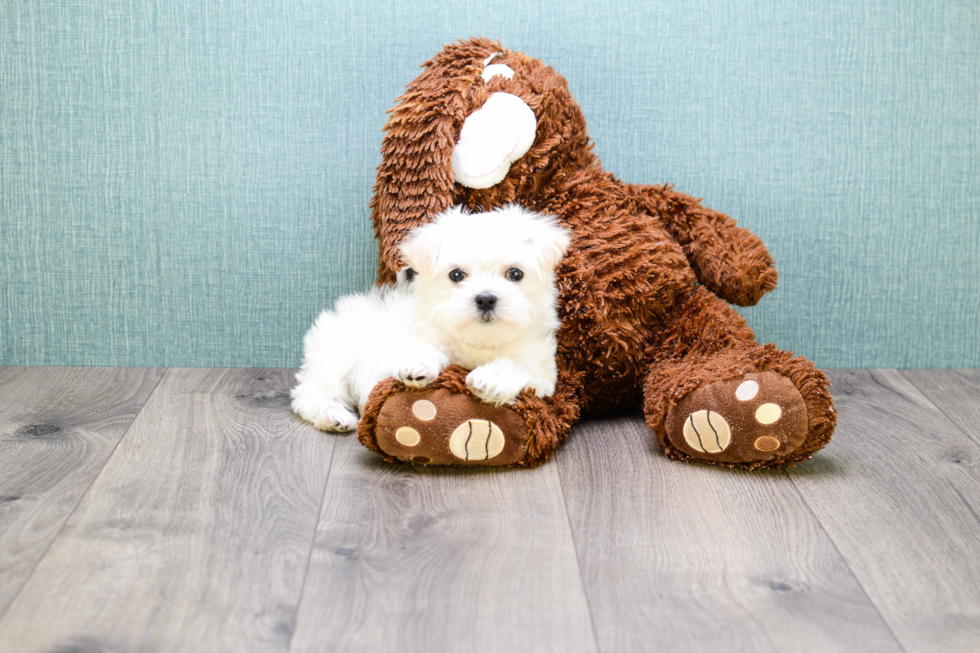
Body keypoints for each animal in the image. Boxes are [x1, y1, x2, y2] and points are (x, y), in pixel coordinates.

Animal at [290, 204, 568, 432]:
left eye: (515, 273)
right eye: (456, 274)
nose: (486, 298)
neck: (479, 340)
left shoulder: (543, 376)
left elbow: (517, 367)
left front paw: (493, 377)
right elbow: (421, 349)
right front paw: (417, 364)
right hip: (334, 357)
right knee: (309, 394)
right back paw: (334, 415)